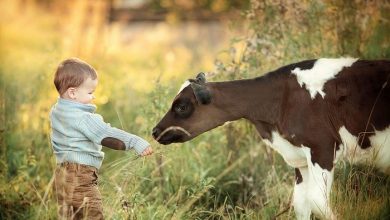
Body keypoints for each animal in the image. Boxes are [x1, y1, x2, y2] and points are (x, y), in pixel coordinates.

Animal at [152, 57, 390, 219]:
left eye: (182, 106)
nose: (155, 131)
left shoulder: (322, 148)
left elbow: (318, 202)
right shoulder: (300, 158)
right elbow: (301, 204)